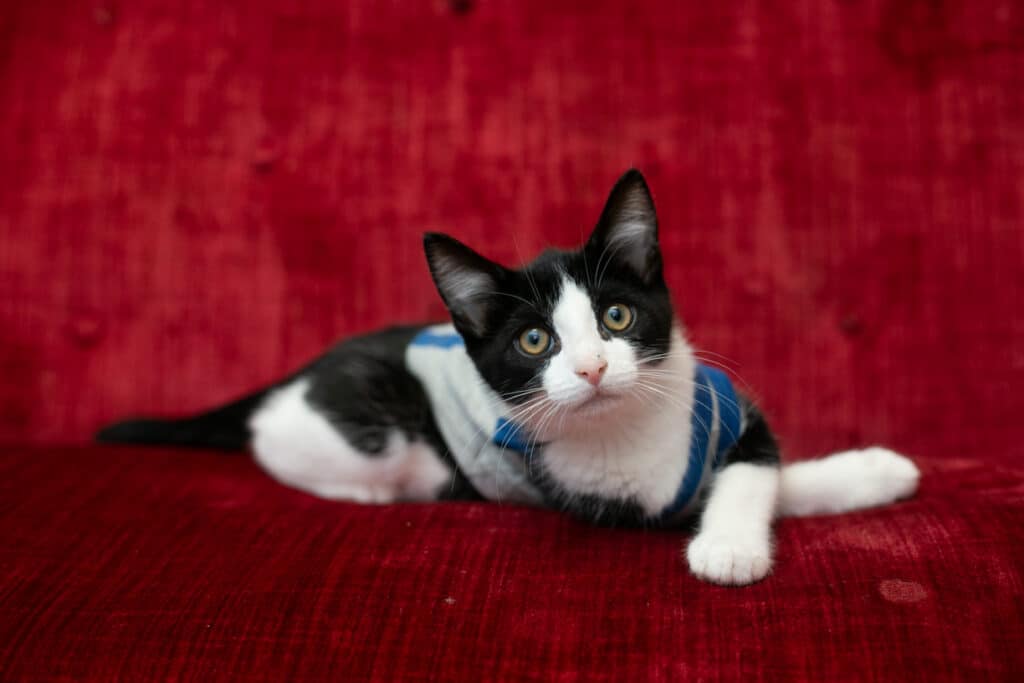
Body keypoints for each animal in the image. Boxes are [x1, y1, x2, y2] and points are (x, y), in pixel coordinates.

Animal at [99, 167, 925, 585]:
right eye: (534, 339)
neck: (632, 425)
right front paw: (727, 549)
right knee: (282, 441)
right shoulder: (607, 498)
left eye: (616, 317)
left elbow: (762, 470)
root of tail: (297, 371)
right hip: (380, 433)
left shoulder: (727, 412)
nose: (591, 364)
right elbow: (740, 486)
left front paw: (874, 471)